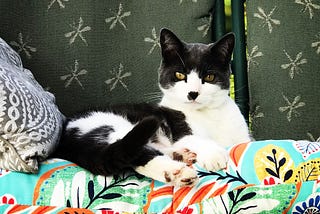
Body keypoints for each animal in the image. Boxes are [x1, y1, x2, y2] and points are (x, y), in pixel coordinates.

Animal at [53, 28, 250, 187]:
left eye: (209, 77)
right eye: (180, 75)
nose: (193, 93)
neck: (210, 113)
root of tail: (66, 137)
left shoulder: (242, 137)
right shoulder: (179, 128)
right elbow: (195, 139)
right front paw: (214, 155)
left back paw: (181, 156)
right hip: (115, 126)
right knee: (136, 154)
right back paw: (178, 172)